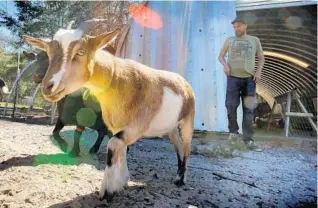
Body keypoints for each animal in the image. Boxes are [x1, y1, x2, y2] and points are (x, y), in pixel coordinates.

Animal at [22, 19, 195, 200]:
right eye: (49, 53)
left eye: (81, 51)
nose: (48, 87)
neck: (117, 79)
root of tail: (183, 81)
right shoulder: (118, 126)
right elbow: (122, 149)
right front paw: (122, 181)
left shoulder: (138, 125)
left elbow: (113, 145)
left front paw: (107, 190)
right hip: (171, 127)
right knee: (179, 146)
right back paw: (178, 175)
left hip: (188, 120)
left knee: (187, 147)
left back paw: (181, 180)